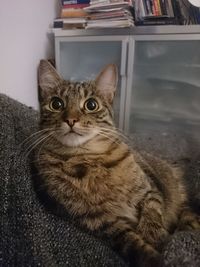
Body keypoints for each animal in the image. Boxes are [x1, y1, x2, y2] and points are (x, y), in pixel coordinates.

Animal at [35, 59, 199, 266]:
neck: (87, 157)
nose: (71, 120)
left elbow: (152, 211)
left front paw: (155, 236)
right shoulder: (99, 220)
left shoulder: (150, 190)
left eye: (91, 104)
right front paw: (154, 257)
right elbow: (132, 242)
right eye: (56, 104)